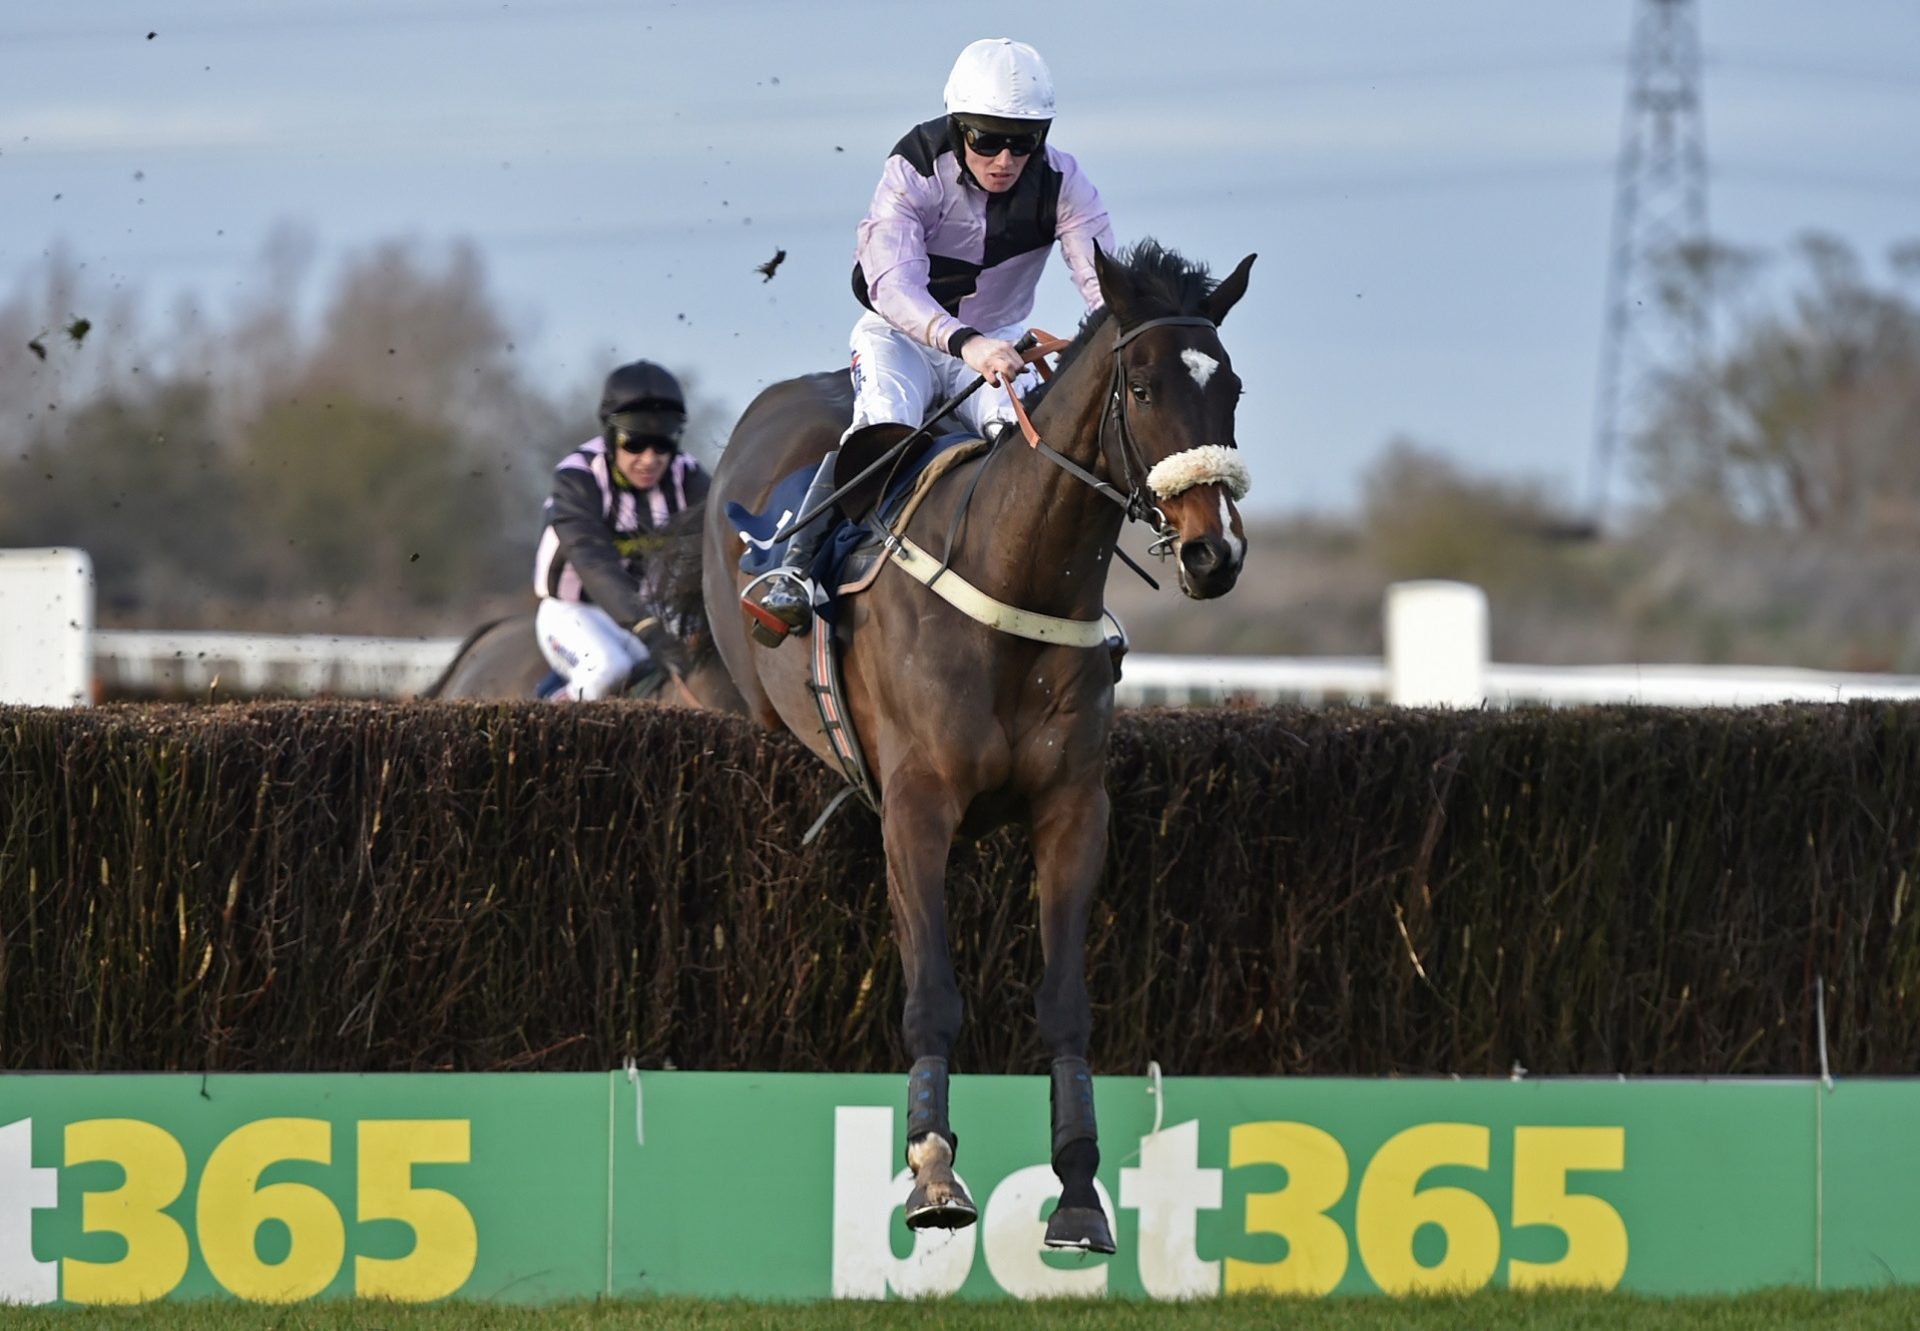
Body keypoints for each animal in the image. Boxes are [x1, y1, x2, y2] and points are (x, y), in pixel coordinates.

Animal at [698, 236, 1251, 1244]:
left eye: (1229, 384)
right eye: (1144, 386)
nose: (1212, 551)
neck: (1015, 579)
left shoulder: (1073, 809)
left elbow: (1065, 1003)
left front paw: (1079, 1190)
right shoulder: (917, 806)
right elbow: (933, 995)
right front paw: (931, 1170)